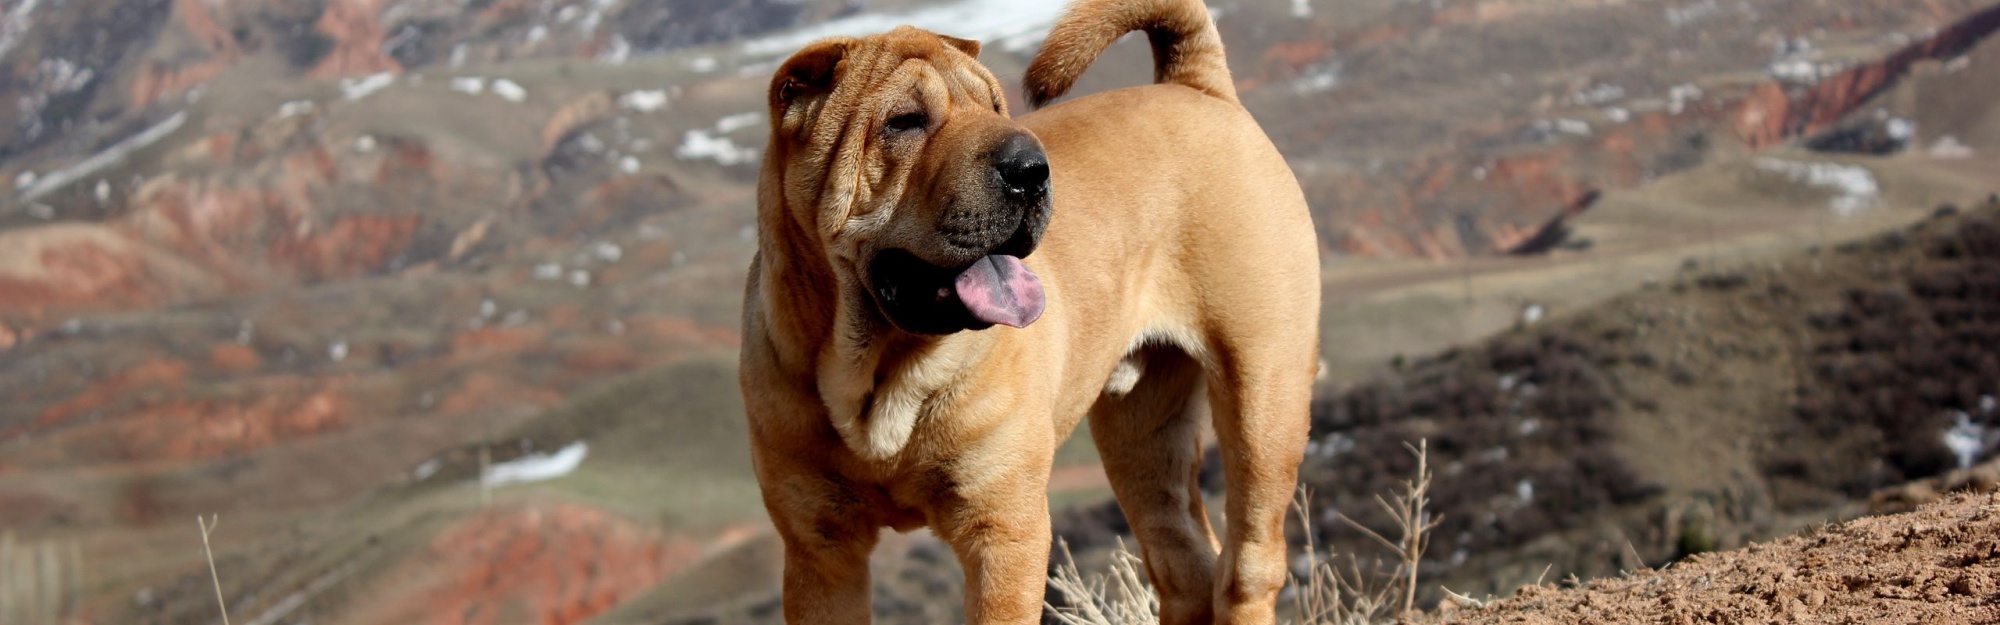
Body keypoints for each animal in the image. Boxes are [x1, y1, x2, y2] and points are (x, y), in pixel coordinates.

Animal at [744, 0, 1320, 620]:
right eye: (904, 121)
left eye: (995, 107)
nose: (1030, 168)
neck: (878, 370)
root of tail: (1199, 87)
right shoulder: (821, 547)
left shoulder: (1002, 529)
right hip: (1142, 436)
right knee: (1185, 564)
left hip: (1262, 396)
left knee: (1248, 564)